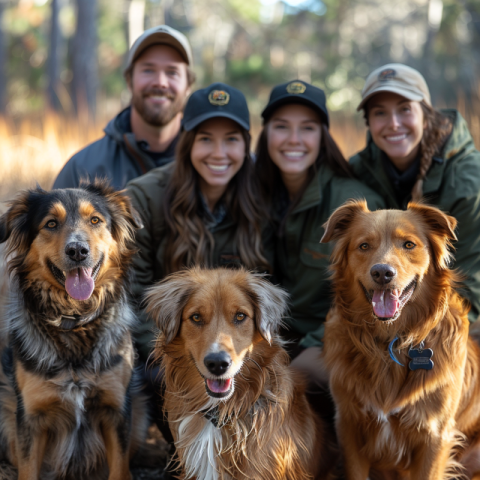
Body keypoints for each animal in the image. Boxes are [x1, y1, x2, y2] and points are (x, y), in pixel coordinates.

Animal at [0, 182, 148, 478]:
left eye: (95, 221)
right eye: (51, 223)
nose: (77, 251)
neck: (74, 320)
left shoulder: (116, 412)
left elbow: (119, 467)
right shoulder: (31, 419)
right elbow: (28, 469)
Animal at [320, 200, 480, 480]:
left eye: (408, 244)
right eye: (364, 246)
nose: (382, 273)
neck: (390, 341)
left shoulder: (435, 435)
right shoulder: (349, 424)